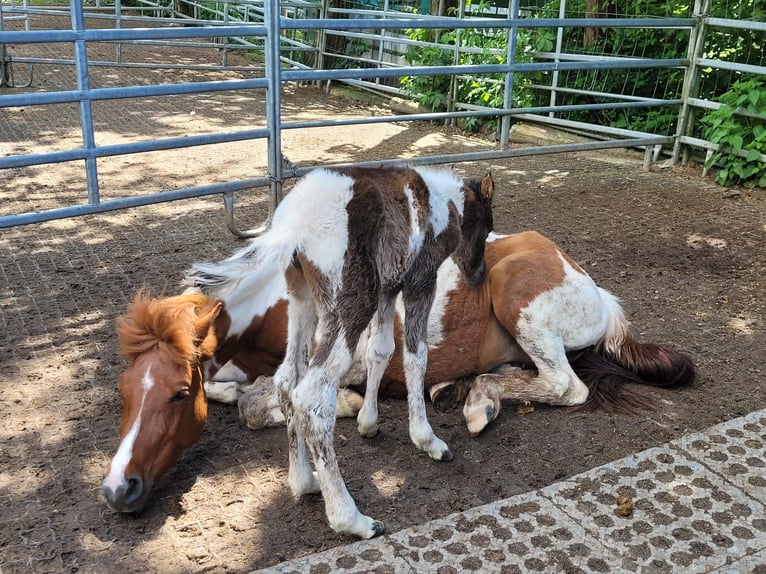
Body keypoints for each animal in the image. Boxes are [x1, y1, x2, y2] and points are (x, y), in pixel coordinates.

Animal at [102, 226, 696, 520]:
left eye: (179, 394)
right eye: (126, 391)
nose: (116, 490)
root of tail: (595, 289)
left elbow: (259, 404)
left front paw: (348, 408)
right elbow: (237, 391)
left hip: (519, 301)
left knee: (567, 387)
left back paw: (476, 403)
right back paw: (462, 389)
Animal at [103, 165, 498, 540]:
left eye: (178, 393)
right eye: (487, 226)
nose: (478, 274)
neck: (443, 203)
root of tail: (295, 223)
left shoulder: (389, 288)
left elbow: (381, 350)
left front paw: (369, 423)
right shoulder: (418, 282)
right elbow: (415, 357)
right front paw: (427, 440)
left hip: (302, 299)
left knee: (287, 380)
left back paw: (304, 482)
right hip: (349, 304)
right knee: (312, 396)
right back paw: (351, 518)